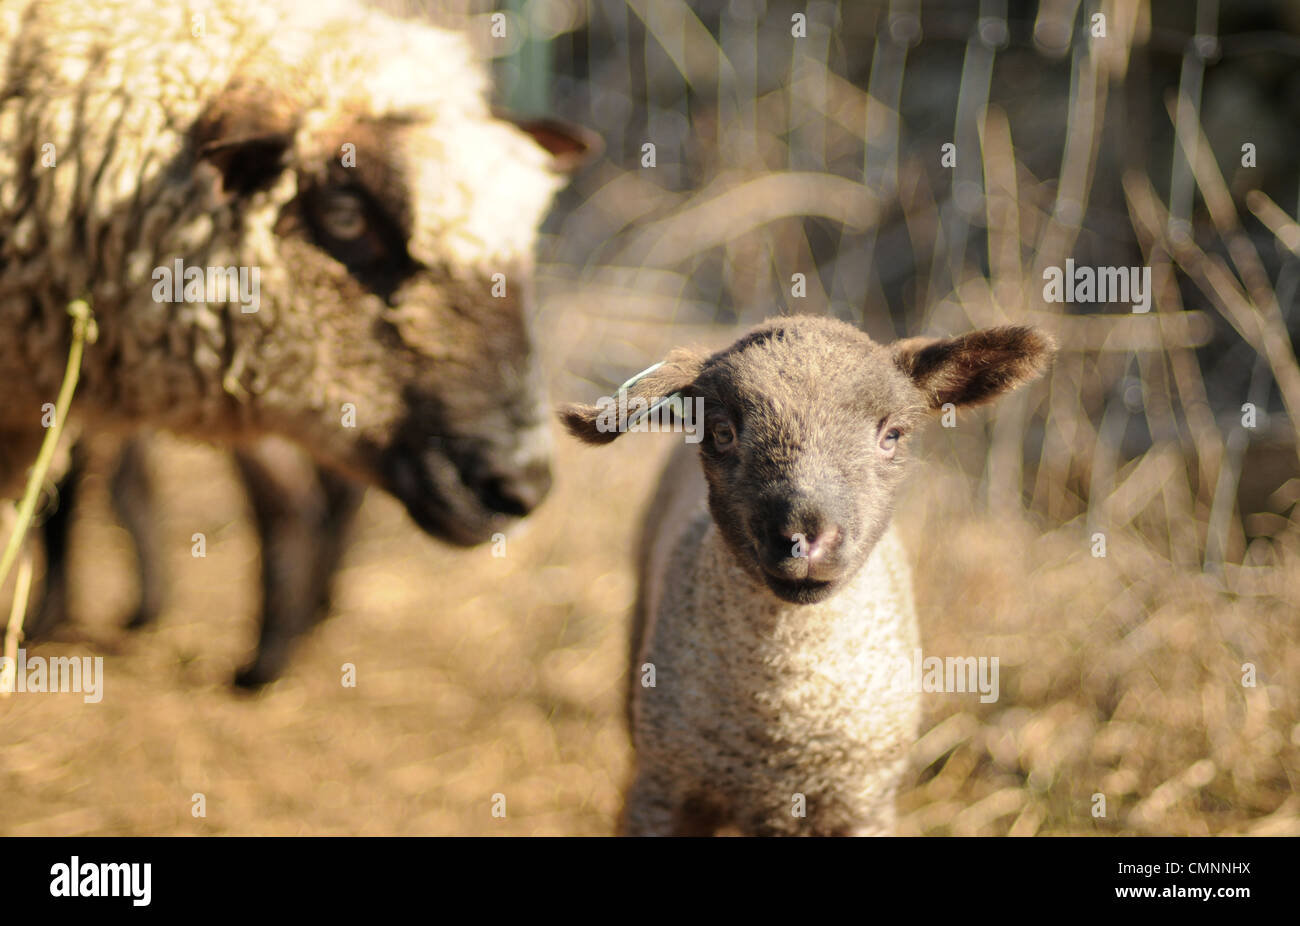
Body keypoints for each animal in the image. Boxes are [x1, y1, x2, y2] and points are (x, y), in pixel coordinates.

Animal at [561, 315, 1054, 836]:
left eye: (892, 435)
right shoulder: (664, 793)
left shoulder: (863, 806)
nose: (803, 538)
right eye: (721, 432)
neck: (786, 721)